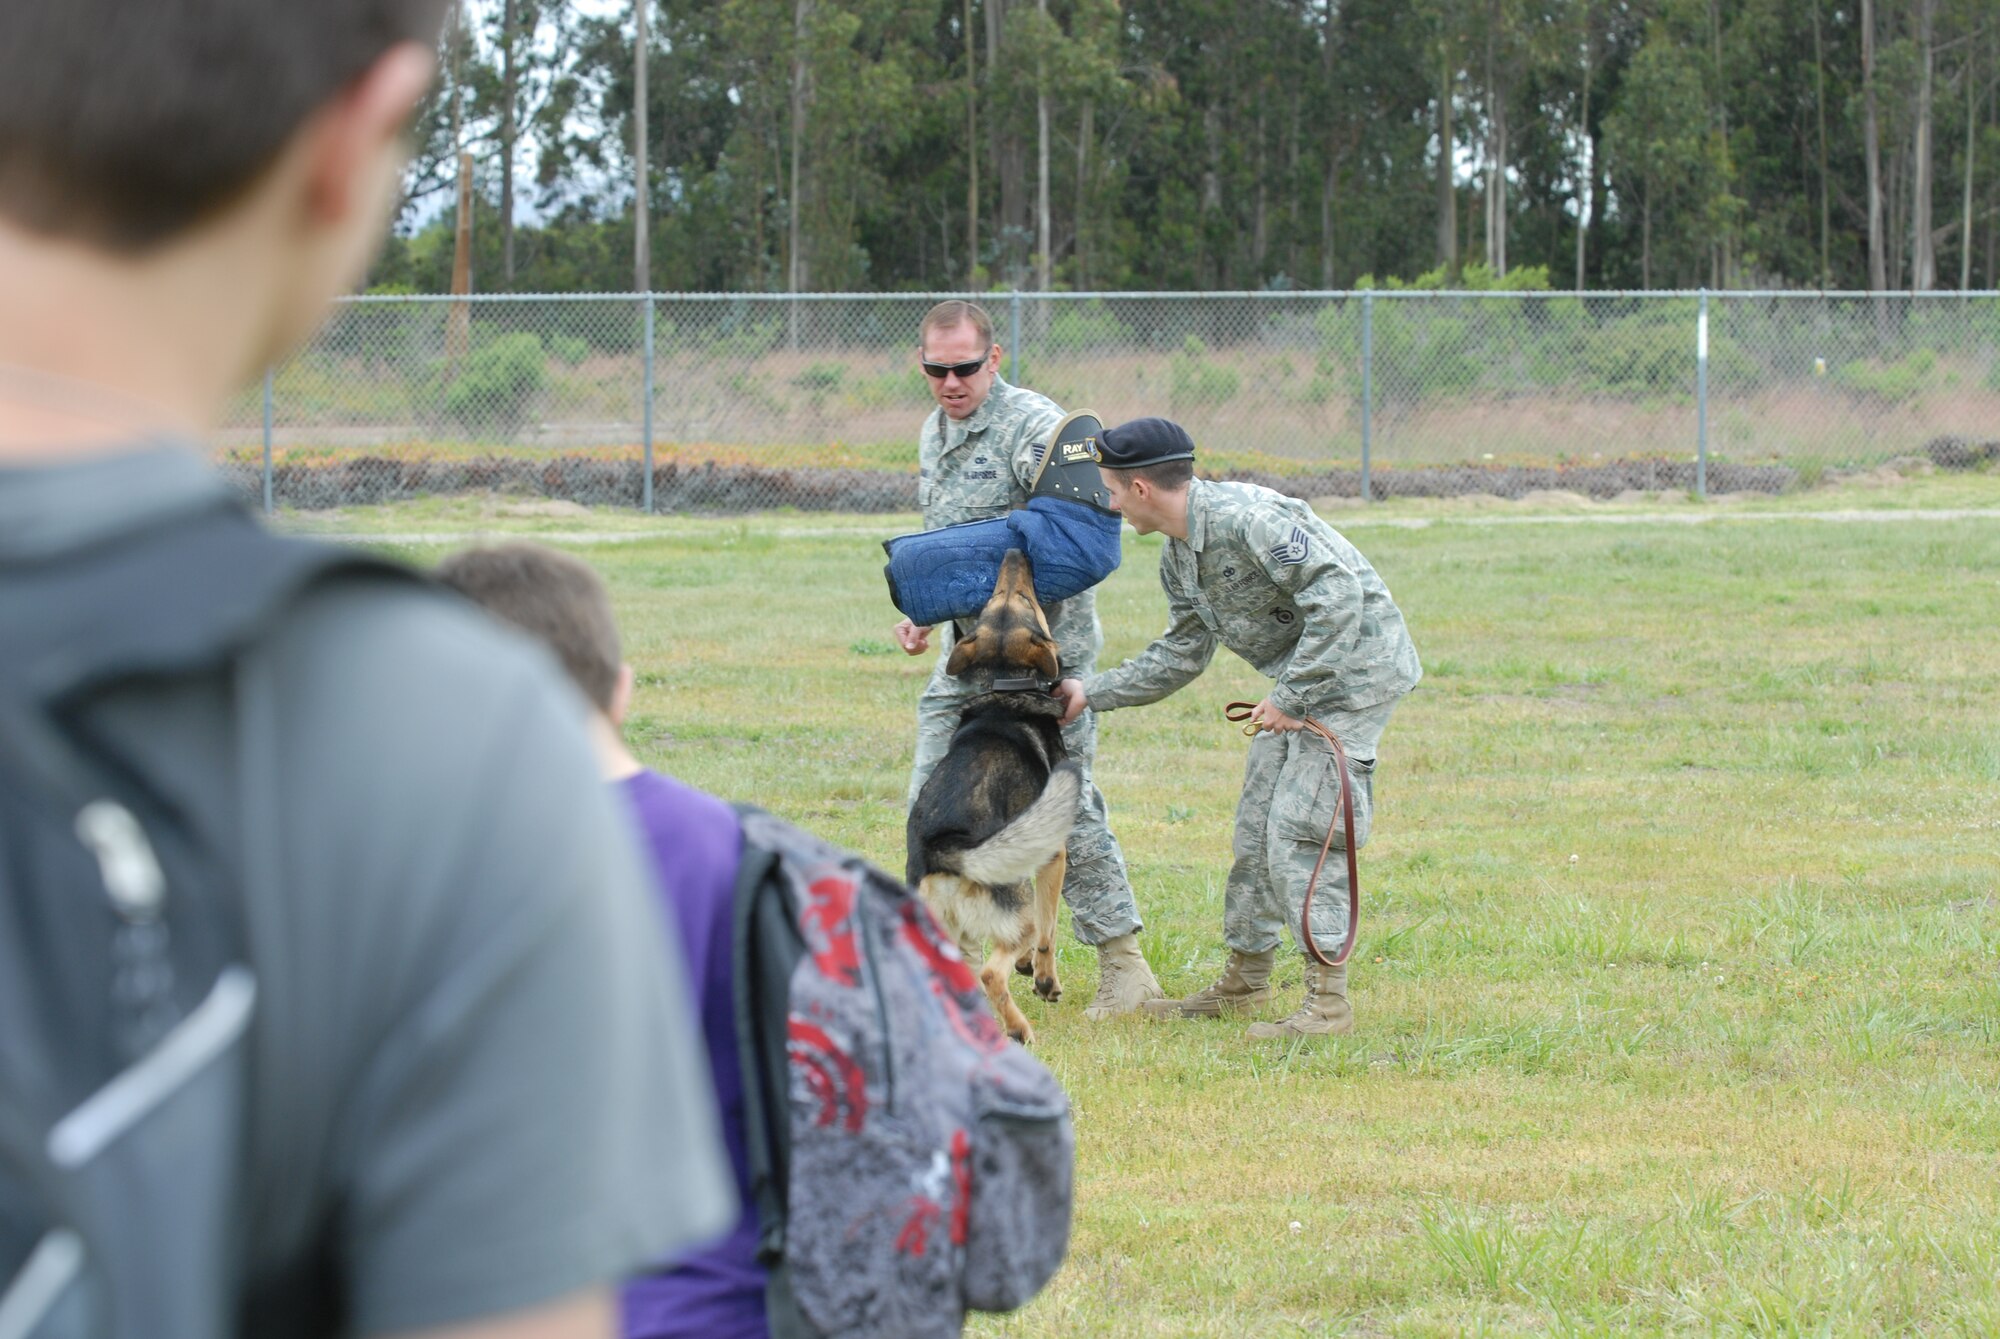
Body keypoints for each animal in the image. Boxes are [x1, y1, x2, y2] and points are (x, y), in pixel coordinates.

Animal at [912, 551, 1088, 1047]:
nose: (1014, 552)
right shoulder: (1052, 855)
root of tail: (944, 848)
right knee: (993, 971)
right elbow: (1050, 929)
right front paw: (1045, 979)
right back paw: (1018, 1029)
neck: (1006, 684)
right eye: (1026, 598)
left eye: (995, 598)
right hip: (1014, 905)